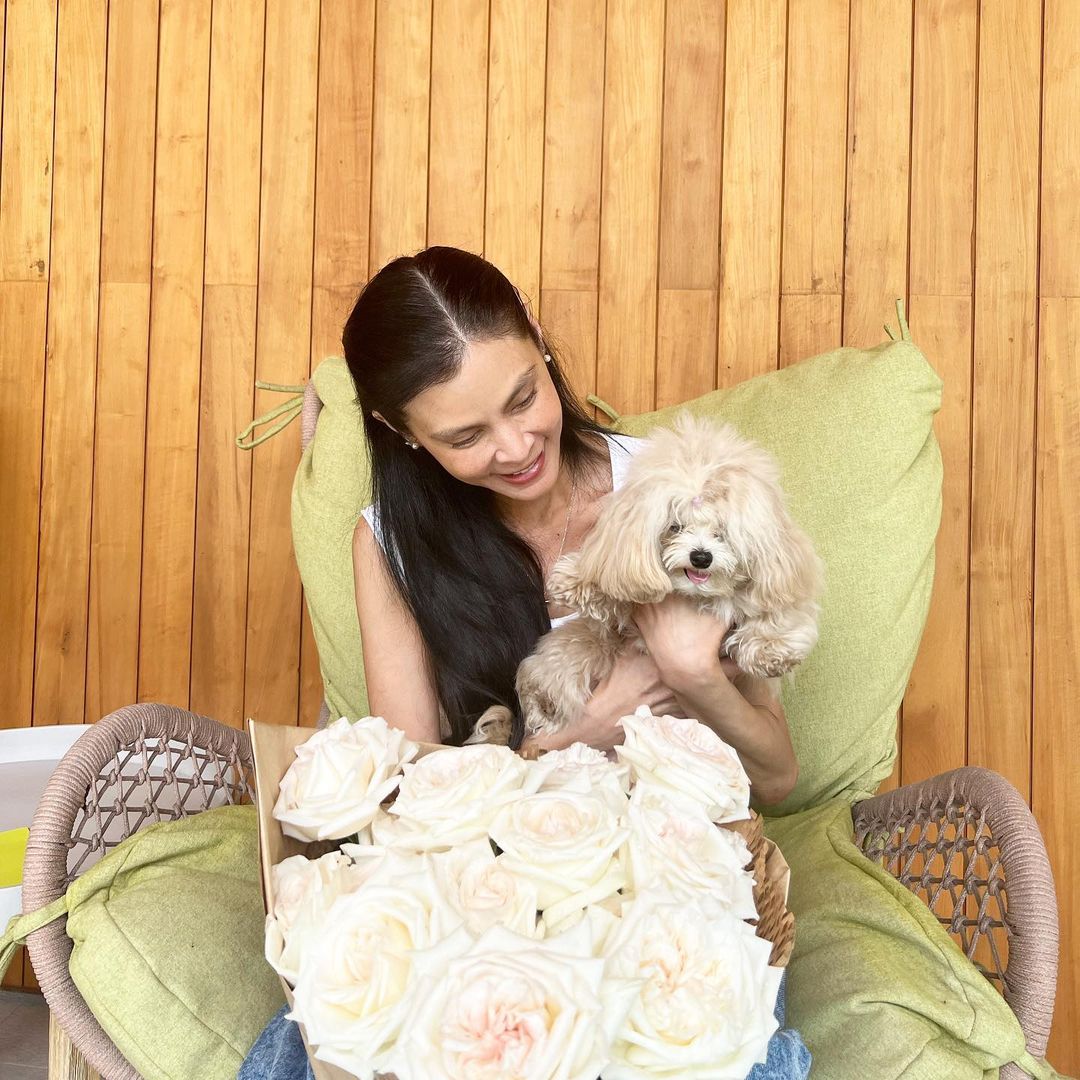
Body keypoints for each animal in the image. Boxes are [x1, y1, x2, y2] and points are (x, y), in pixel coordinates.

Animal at [469, 413, 824, 747]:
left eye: (722, 532)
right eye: (675, 526)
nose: (701, 557)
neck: (694, 596)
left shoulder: (776, 582)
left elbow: (777, 615)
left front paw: (771, 651)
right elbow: (611, 578)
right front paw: (575, 579)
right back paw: (545, 705)